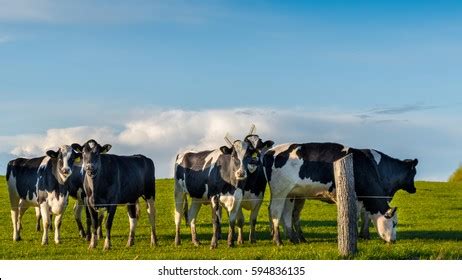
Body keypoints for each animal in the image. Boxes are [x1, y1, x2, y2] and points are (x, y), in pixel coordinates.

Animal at [264, 142, 418, 245]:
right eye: (394, 223)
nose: (394, 240)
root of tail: (270, 151)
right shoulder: (354, 198)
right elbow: (356, 216)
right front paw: (356, 236)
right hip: (279, 191)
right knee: (275, 212)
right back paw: (278, 241)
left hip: (291, 194)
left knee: (287, 214)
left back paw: (294, 239)